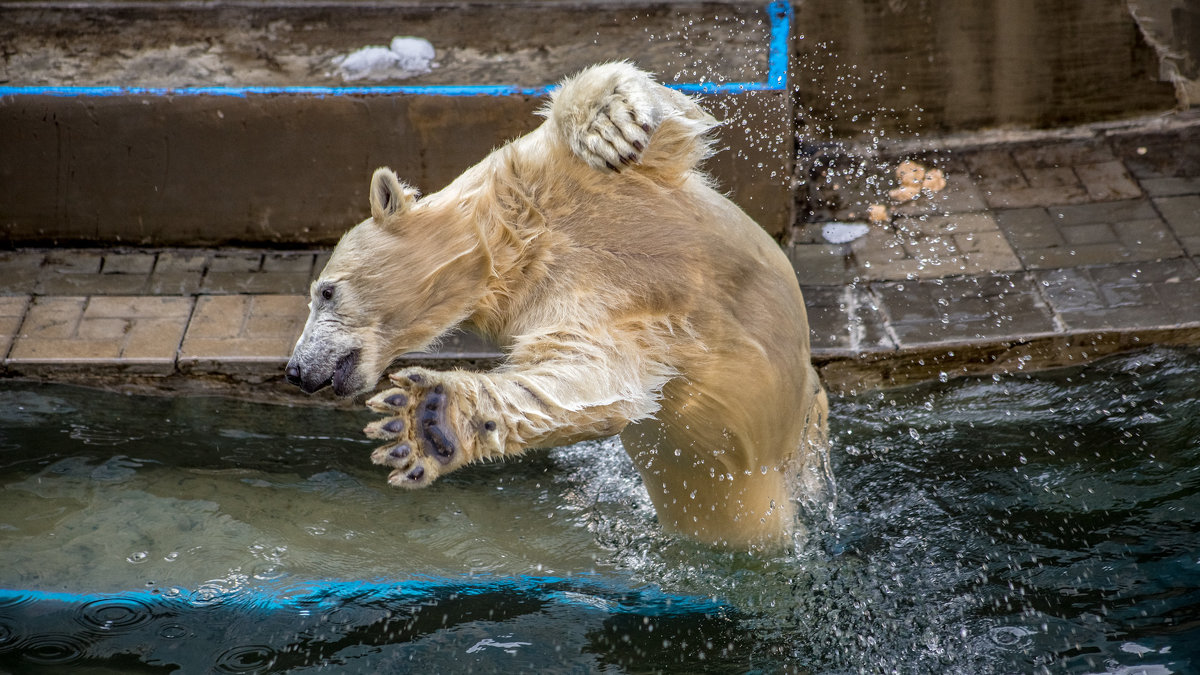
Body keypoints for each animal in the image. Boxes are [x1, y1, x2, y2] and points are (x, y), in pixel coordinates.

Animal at [285, 63, 830, 547]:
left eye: (326, 291)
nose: (295, 369)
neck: (518, 245)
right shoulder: (565, 309)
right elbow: (585, 376)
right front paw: (430, 421)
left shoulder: (556, 179)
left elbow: (658, 116)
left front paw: (611, 122)